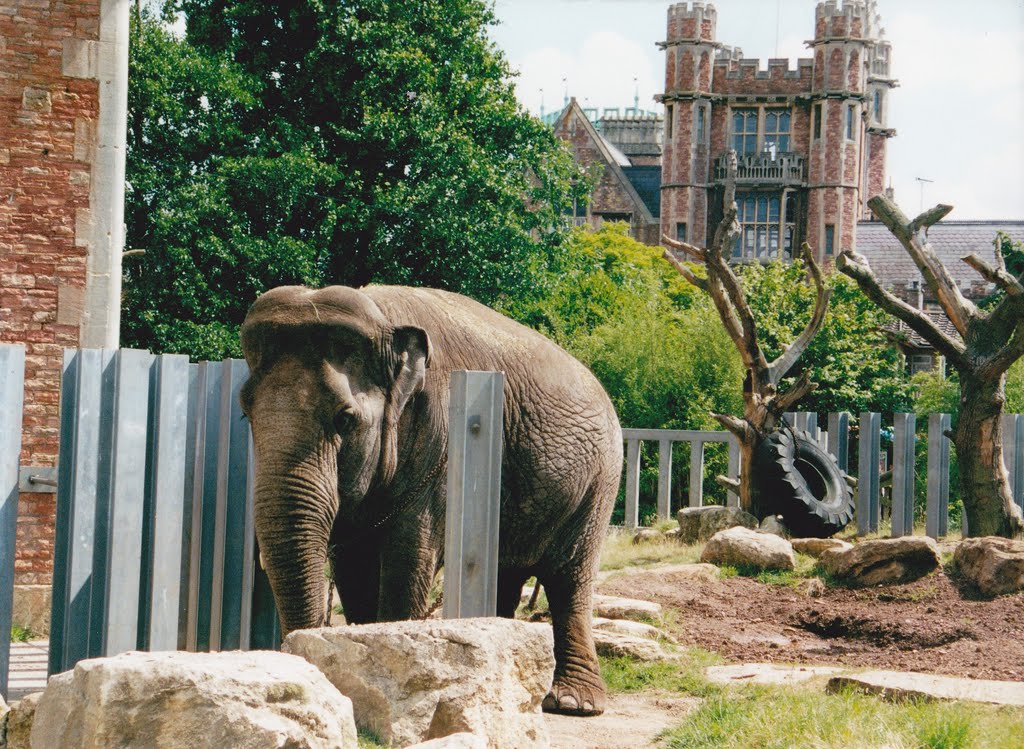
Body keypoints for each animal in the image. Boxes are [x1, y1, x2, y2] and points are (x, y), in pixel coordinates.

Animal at [239, 284, 622, 717]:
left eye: (345, 419)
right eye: (244, 412)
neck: (384, 320)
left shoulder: (439, 440)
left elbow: (409, 559)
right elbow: (354, 569)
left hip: (599, 483)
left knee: (569, 578)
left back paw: (574, 703)